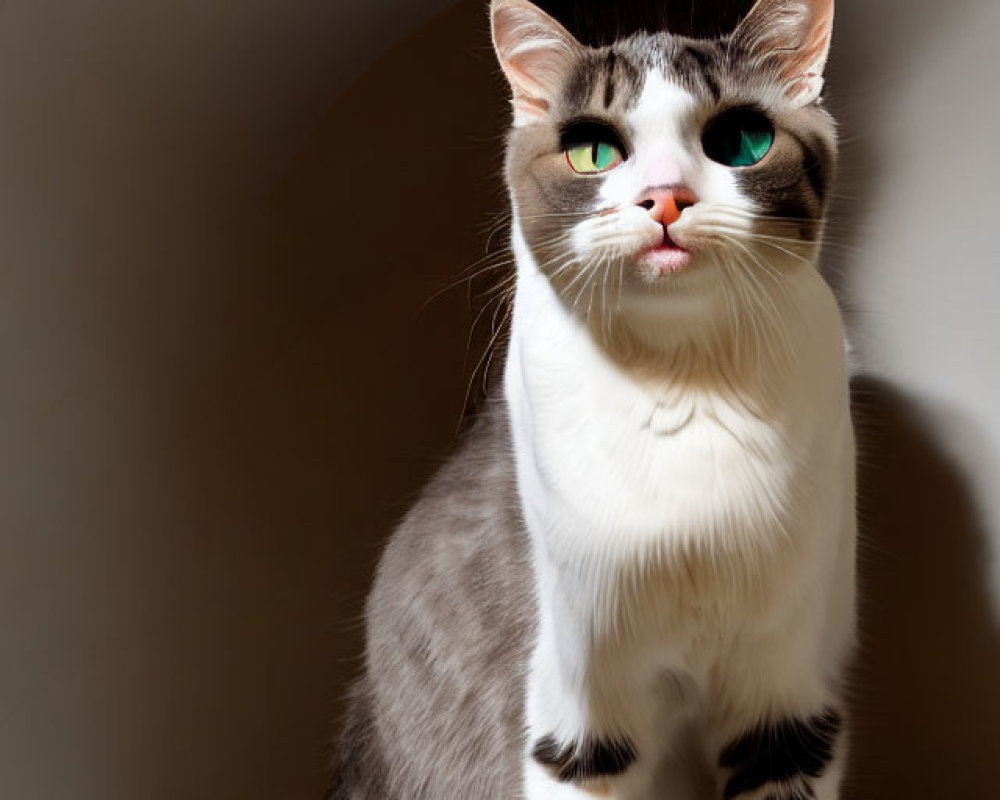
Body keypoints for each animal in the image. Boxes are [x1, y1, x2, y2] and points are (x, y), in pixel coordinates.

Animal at [332, 0, 856, 796]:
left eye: (742, 141)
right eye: (592, 153)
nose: (665, 196)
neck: (684, 383)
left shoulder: (785, 703)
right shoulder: (577, 709)